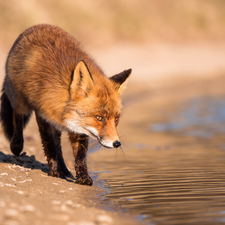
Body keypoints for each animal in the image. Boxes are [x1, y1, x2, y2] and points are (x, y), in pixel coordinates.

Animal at [0, 24, 131, 186]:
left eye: (116, 119)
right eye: (99, 118)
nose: (117, 143)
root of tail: (39, 25)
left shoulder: (80, 126)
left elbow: (79, 155)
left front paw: (82, 176)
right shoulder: (43, 114)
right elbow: (49, 145)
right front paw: (55, 172)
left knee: (58, 145)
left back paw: (64, 167)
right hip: (21, 103)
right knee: (17, 118)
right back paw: (17, 145)